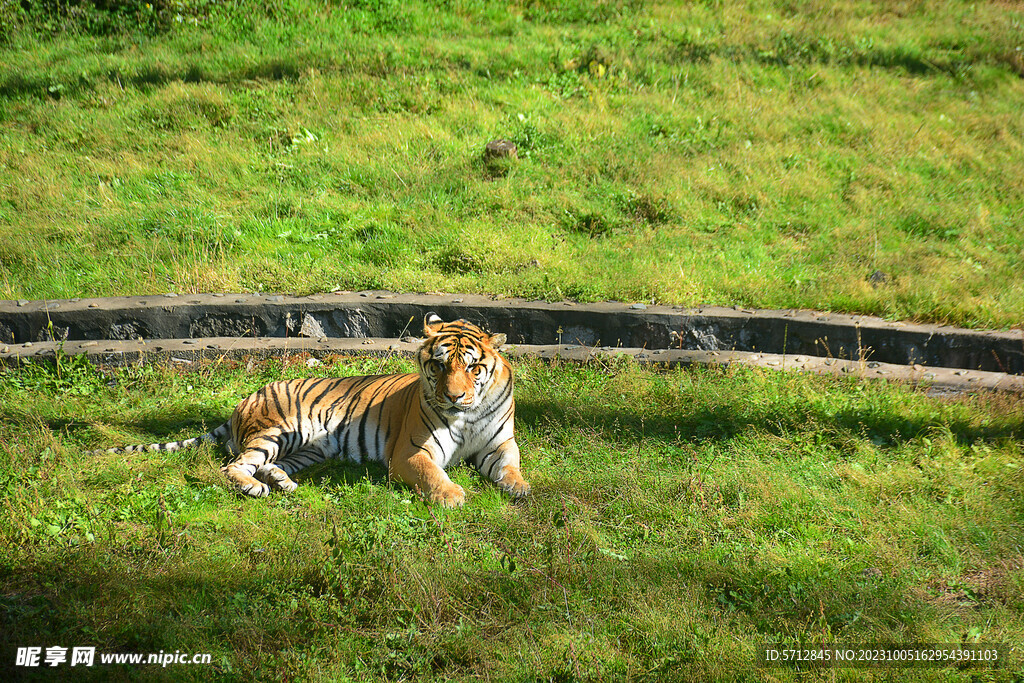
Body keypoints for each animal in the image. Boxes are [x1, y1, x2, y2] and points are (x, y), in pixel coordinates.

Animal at [90, 315, 528, 507]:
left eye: (472, 367)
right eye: (438, 365)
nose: (454, 397)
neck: (468, 414)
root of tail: (241, 403)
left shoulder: (499, 444)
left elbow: (509, 466)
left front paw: (519, 487)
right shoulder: (411, 452)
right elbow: (432, 474)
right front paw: (452, 495)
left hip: (311, 447)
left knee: (264, 465)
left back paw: (282, 482)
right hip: (279, 431)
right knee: (233, 466)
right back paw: (255, 487)